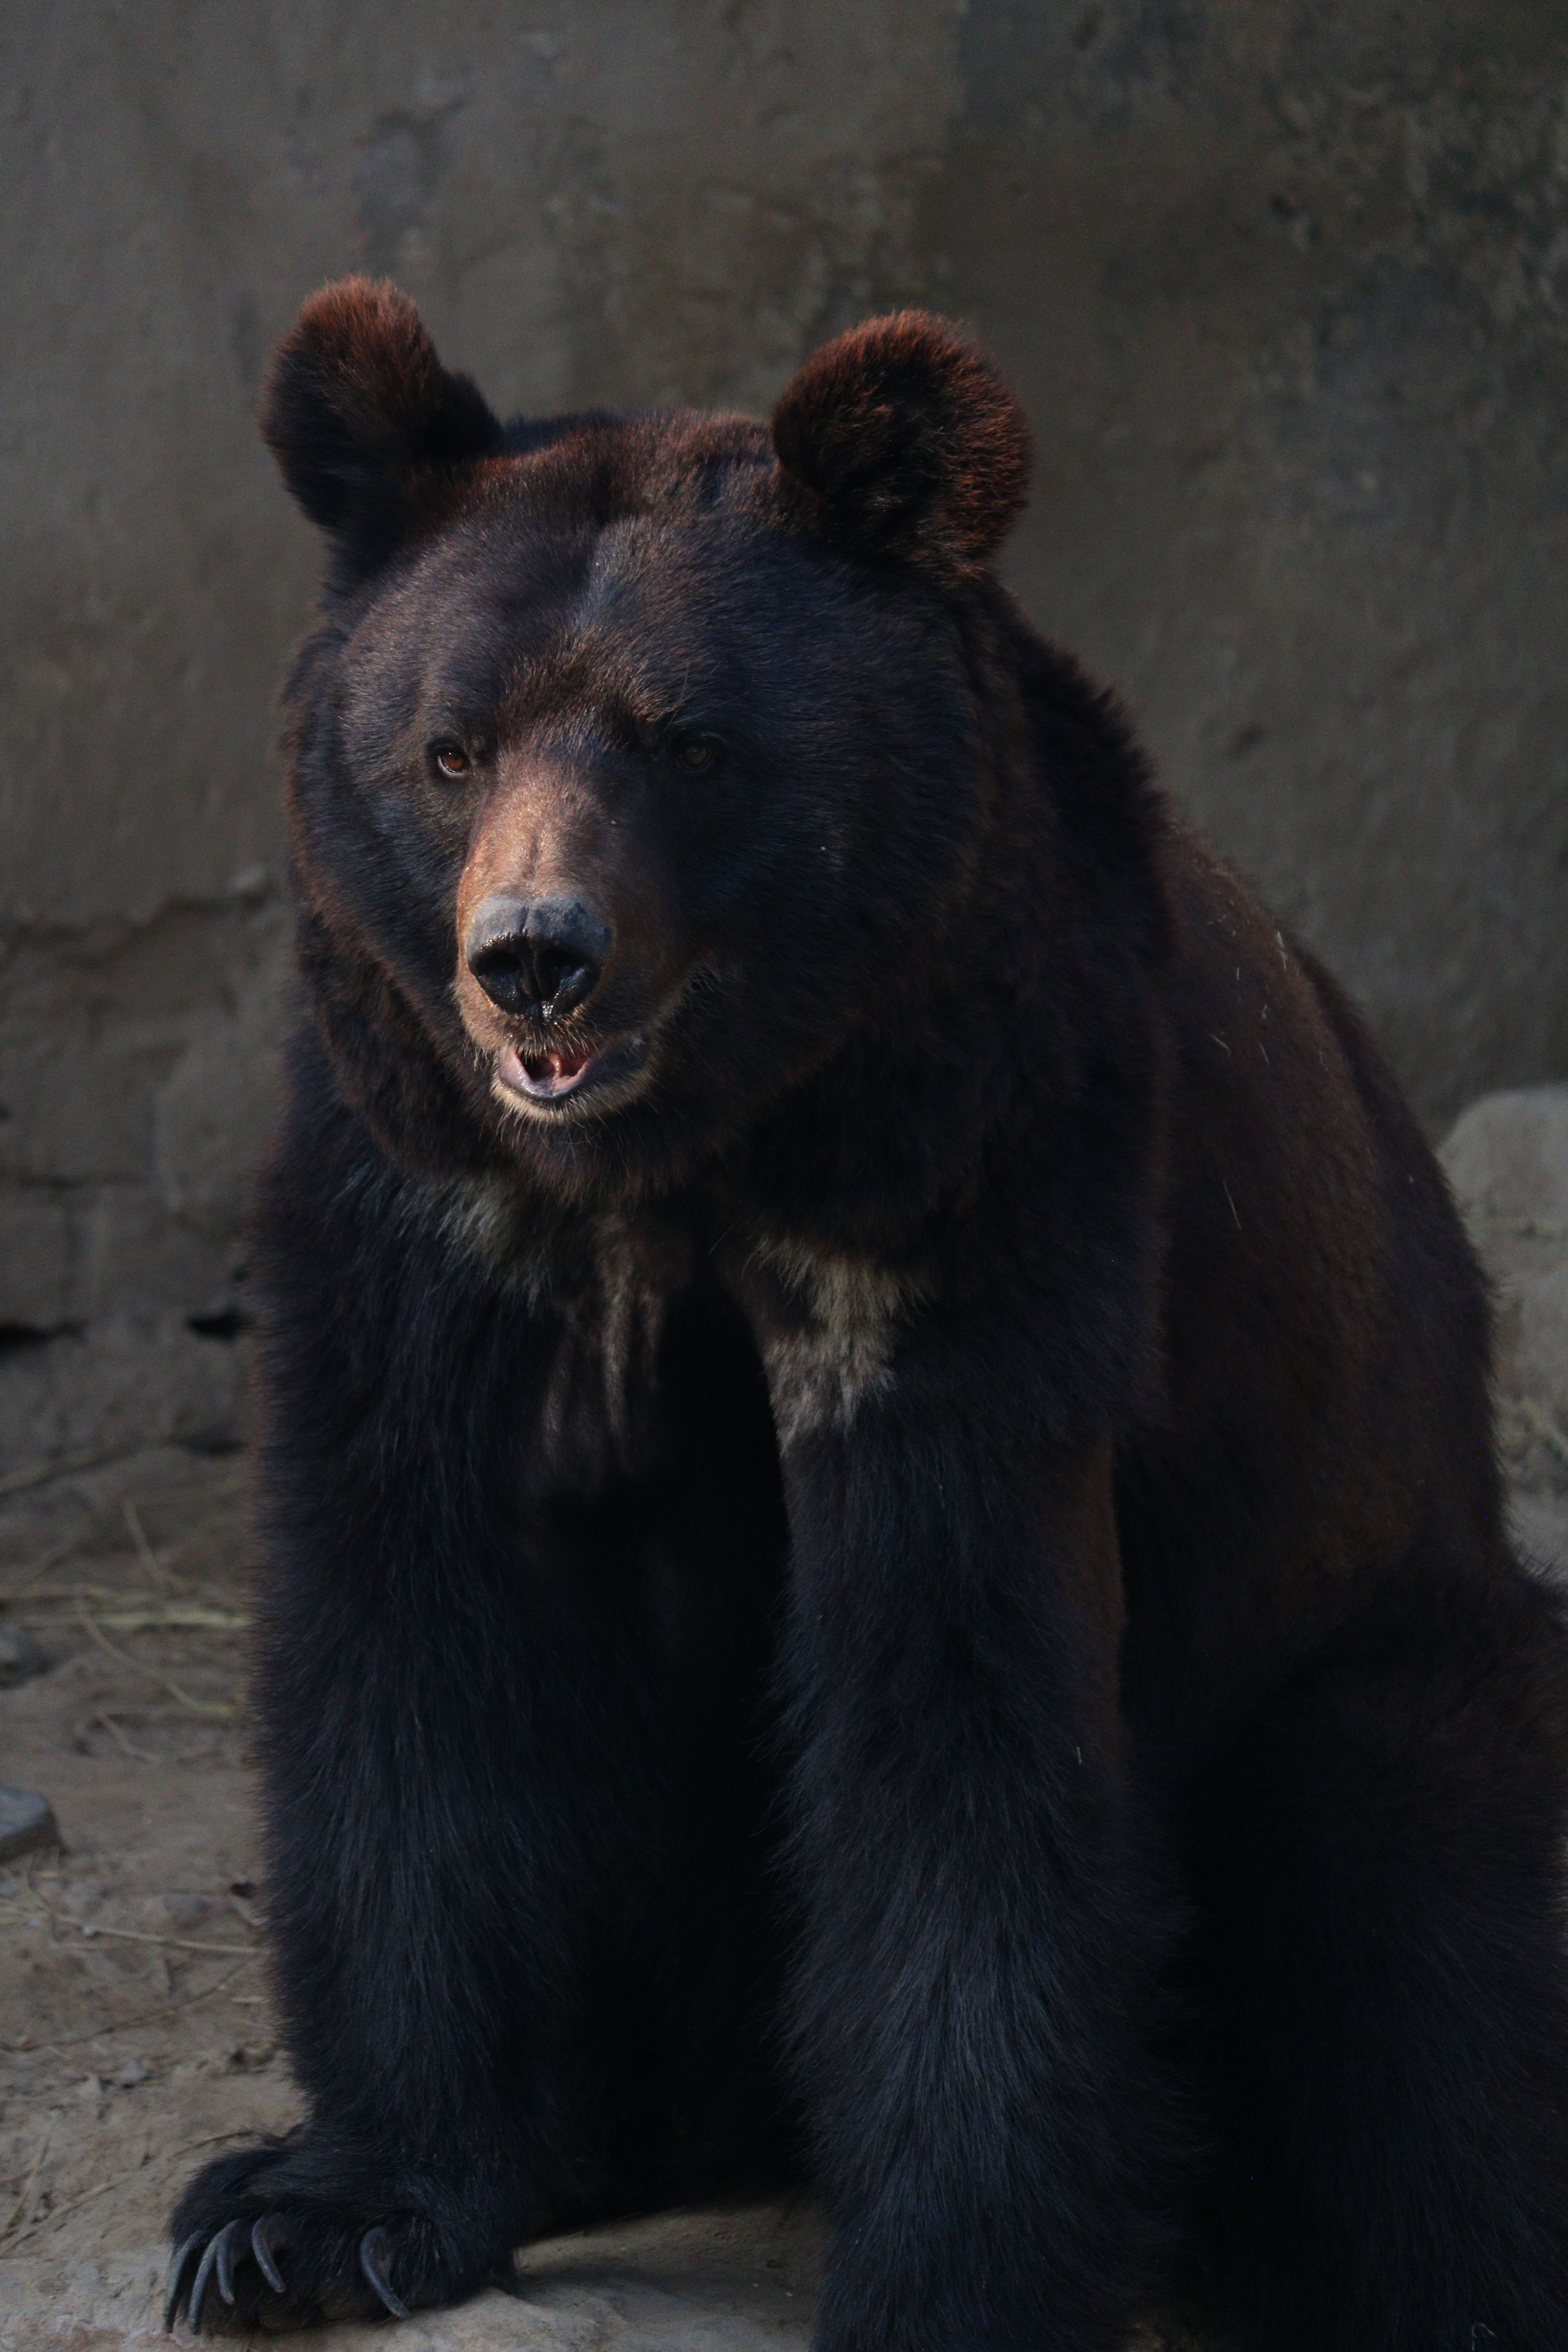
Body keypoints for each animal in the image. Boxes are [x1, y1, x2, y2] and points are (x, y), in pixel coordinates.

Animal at [164, 279, 1568, 2350]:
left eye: (682, 741)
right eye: (448, 749)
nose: (532, 962)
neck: (694, 1145)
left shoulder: (977, 1184)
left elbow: (954, 1692)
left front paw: (950, 2276)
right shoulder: (426, 1187)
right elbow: (416, 1615)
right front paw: (301, 2215)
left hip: (1367, 1625)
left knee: (1415, 1914)